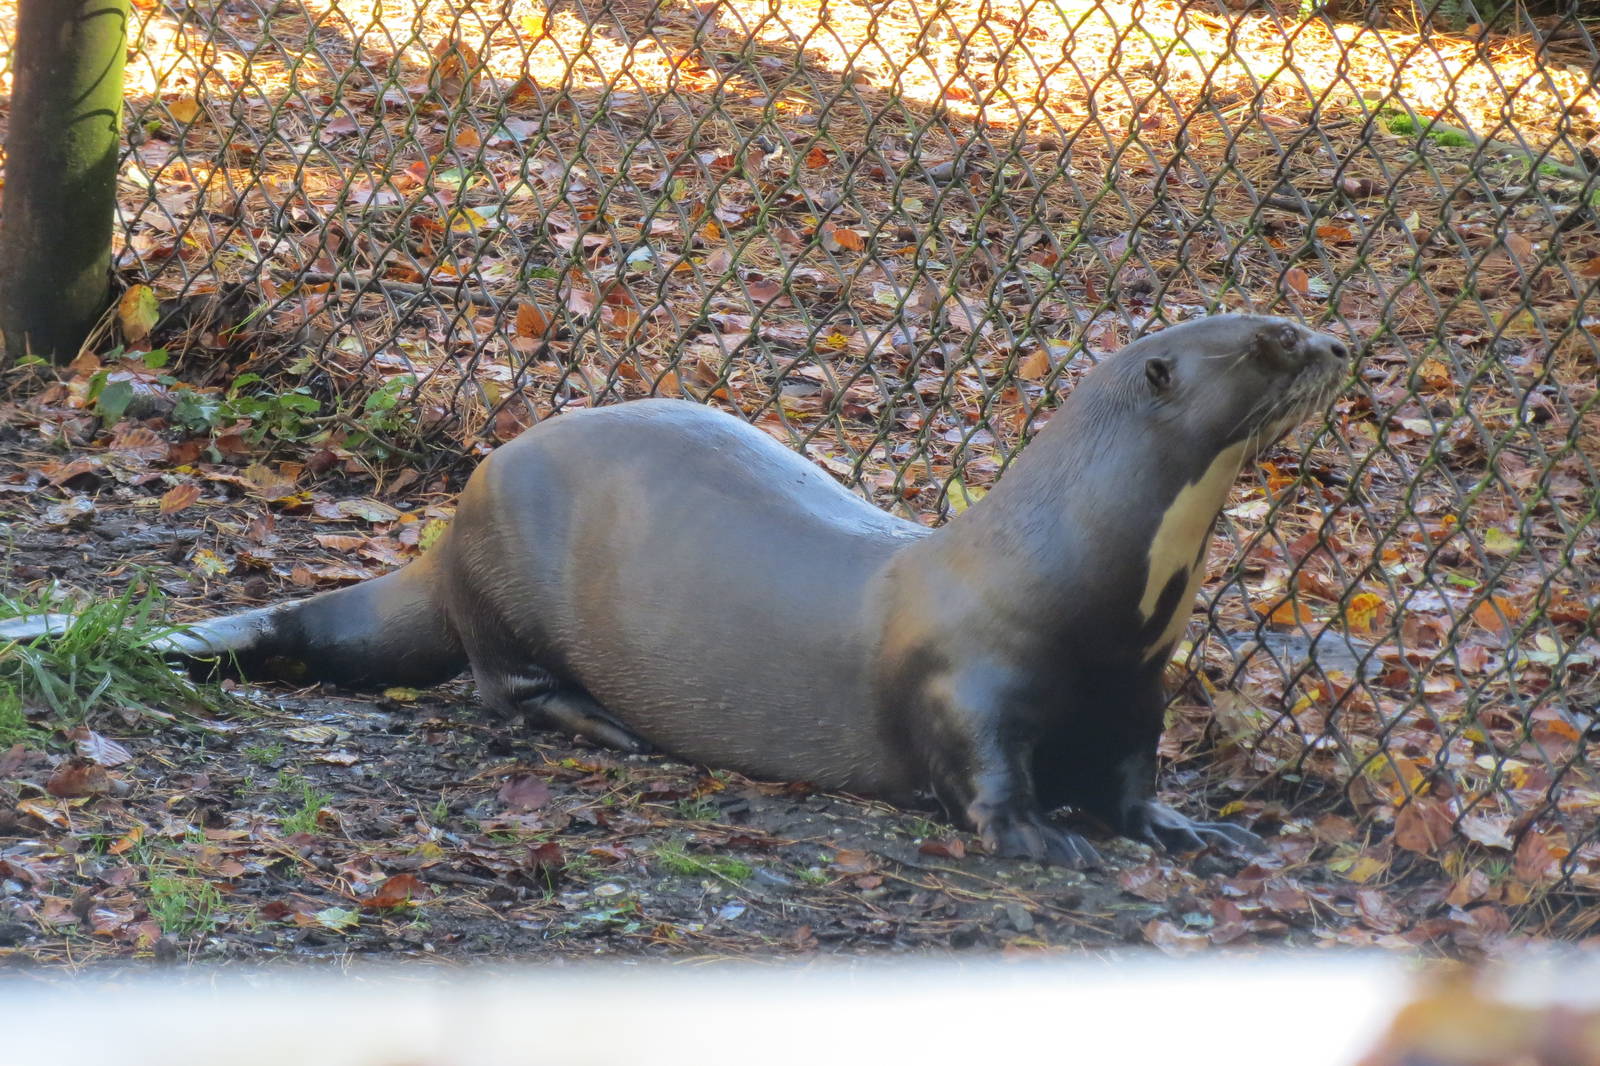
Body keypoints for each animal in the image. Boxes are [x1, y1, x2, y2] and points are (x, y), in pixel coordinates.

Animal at [2, 314, 1347, 866]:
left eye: (1290, 317)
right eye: (1265, 344)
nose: (1337, 345)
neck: (1092, 584)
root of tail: (449, 521)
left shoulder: (1138, 695)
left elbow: (1131, 782)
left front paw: (1190, 830)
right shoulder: (969, 683)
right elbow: (984, 773)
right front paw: (1033, 834)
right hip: (506, 566)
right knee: (493, 686)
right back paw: (598, 720)